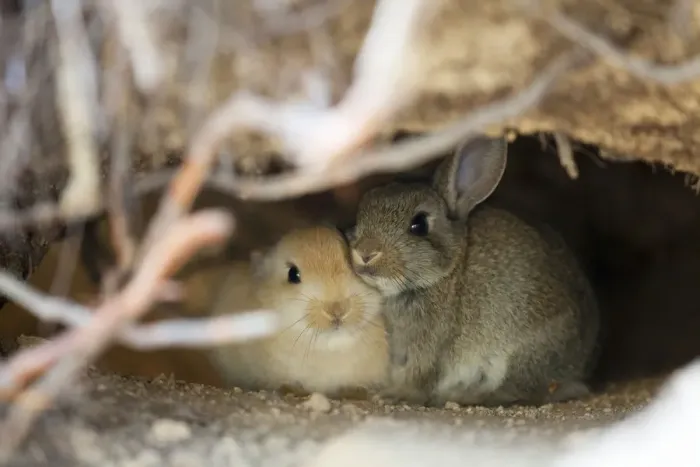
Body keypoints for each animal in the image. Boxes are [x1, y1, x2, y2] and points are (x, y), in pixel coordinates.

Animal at [346, 135, 601, 407]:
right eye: (360, 214)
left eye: (419, 224)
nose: (365, 252)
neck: (446, 273)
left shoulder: (430, 343)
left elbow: (419, 375)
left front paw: (395, 394)